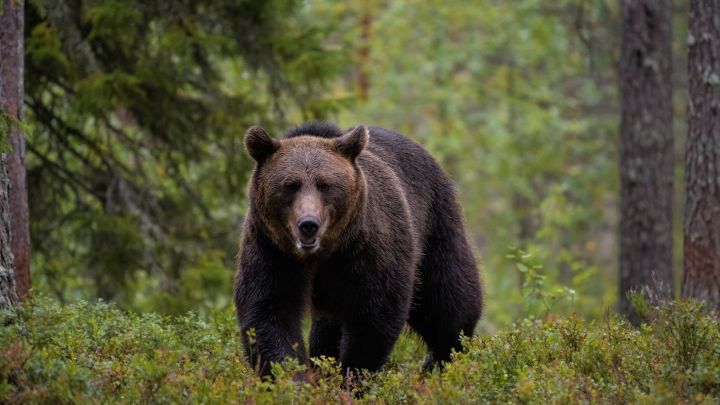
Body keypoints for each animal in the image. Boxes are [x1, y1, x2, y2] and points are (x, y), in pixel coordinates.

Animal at [234, 122, 482, 377]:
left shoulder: (367, 250)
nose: (308, 224)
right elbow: (270, 312)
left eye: (325, 185)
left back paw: (443, 361)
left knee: (447, 302)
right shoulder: (272, 250)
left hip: (435, 225)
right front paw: (294, 376)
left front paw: (352, 375)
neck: (324, 253)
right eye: (290, 185)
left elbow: (374, 317)